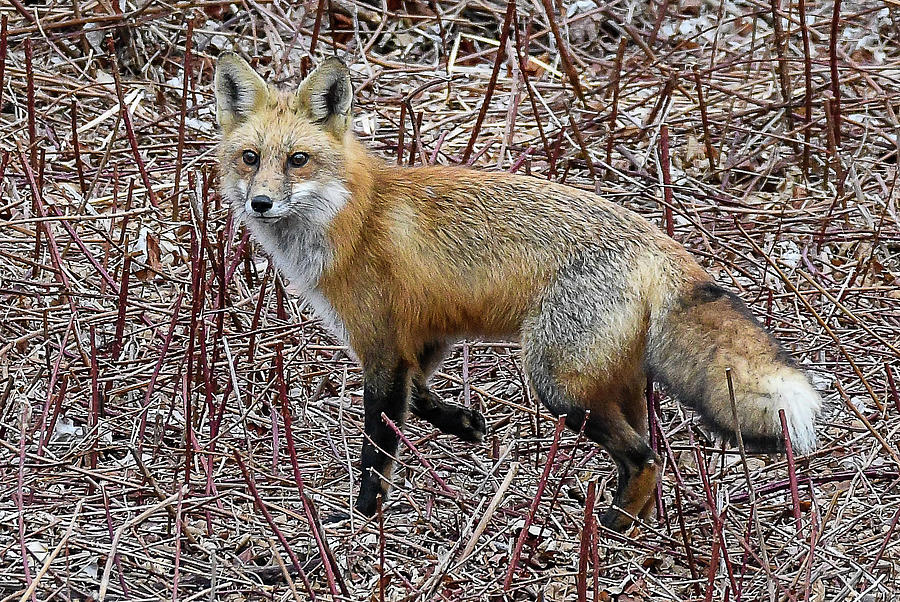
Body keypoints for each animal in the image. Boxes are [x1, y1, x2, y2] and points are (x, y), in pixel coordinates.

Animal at [213, 52, 824, 528]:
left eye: (298, 160)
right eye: (250, 158)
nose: (260, 203)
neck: (350, 218)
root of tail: (656, 237)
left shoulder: (382, 349)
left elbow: (377, 448)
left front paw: (362, 518)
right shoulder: (426, 337)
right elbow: (424, 397)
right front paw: (465, 424)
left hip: (556, 384)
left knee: (644, 456)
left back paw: (611, 526)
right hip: (617, 381)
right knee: (643, 448)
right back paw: (634, 521)